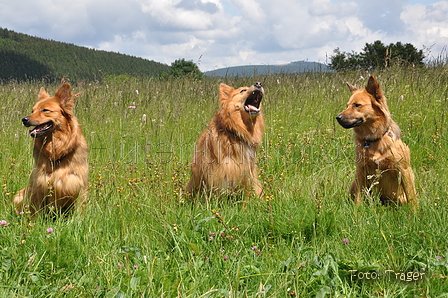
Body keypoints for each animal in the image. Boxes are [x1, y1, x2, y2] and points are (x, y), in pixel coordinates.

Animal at [13, 82, 89, 215]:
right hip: (20, 195)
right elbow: (36, 211)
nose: (24, 119)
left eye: (45, 110)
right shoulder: (38, 185)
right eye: (32, 110)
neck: (57, 152)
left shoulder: (78, 184)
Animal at [336, 75, 416, 208]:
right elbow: (358, 197)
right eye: (347, 105)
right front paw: (356, 210)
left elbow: (412, 197)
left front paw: (415, 212)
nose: (338, 118)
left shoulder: (404, 170)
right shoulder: (361, 170)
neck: (374, 139)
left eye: (357, 105)